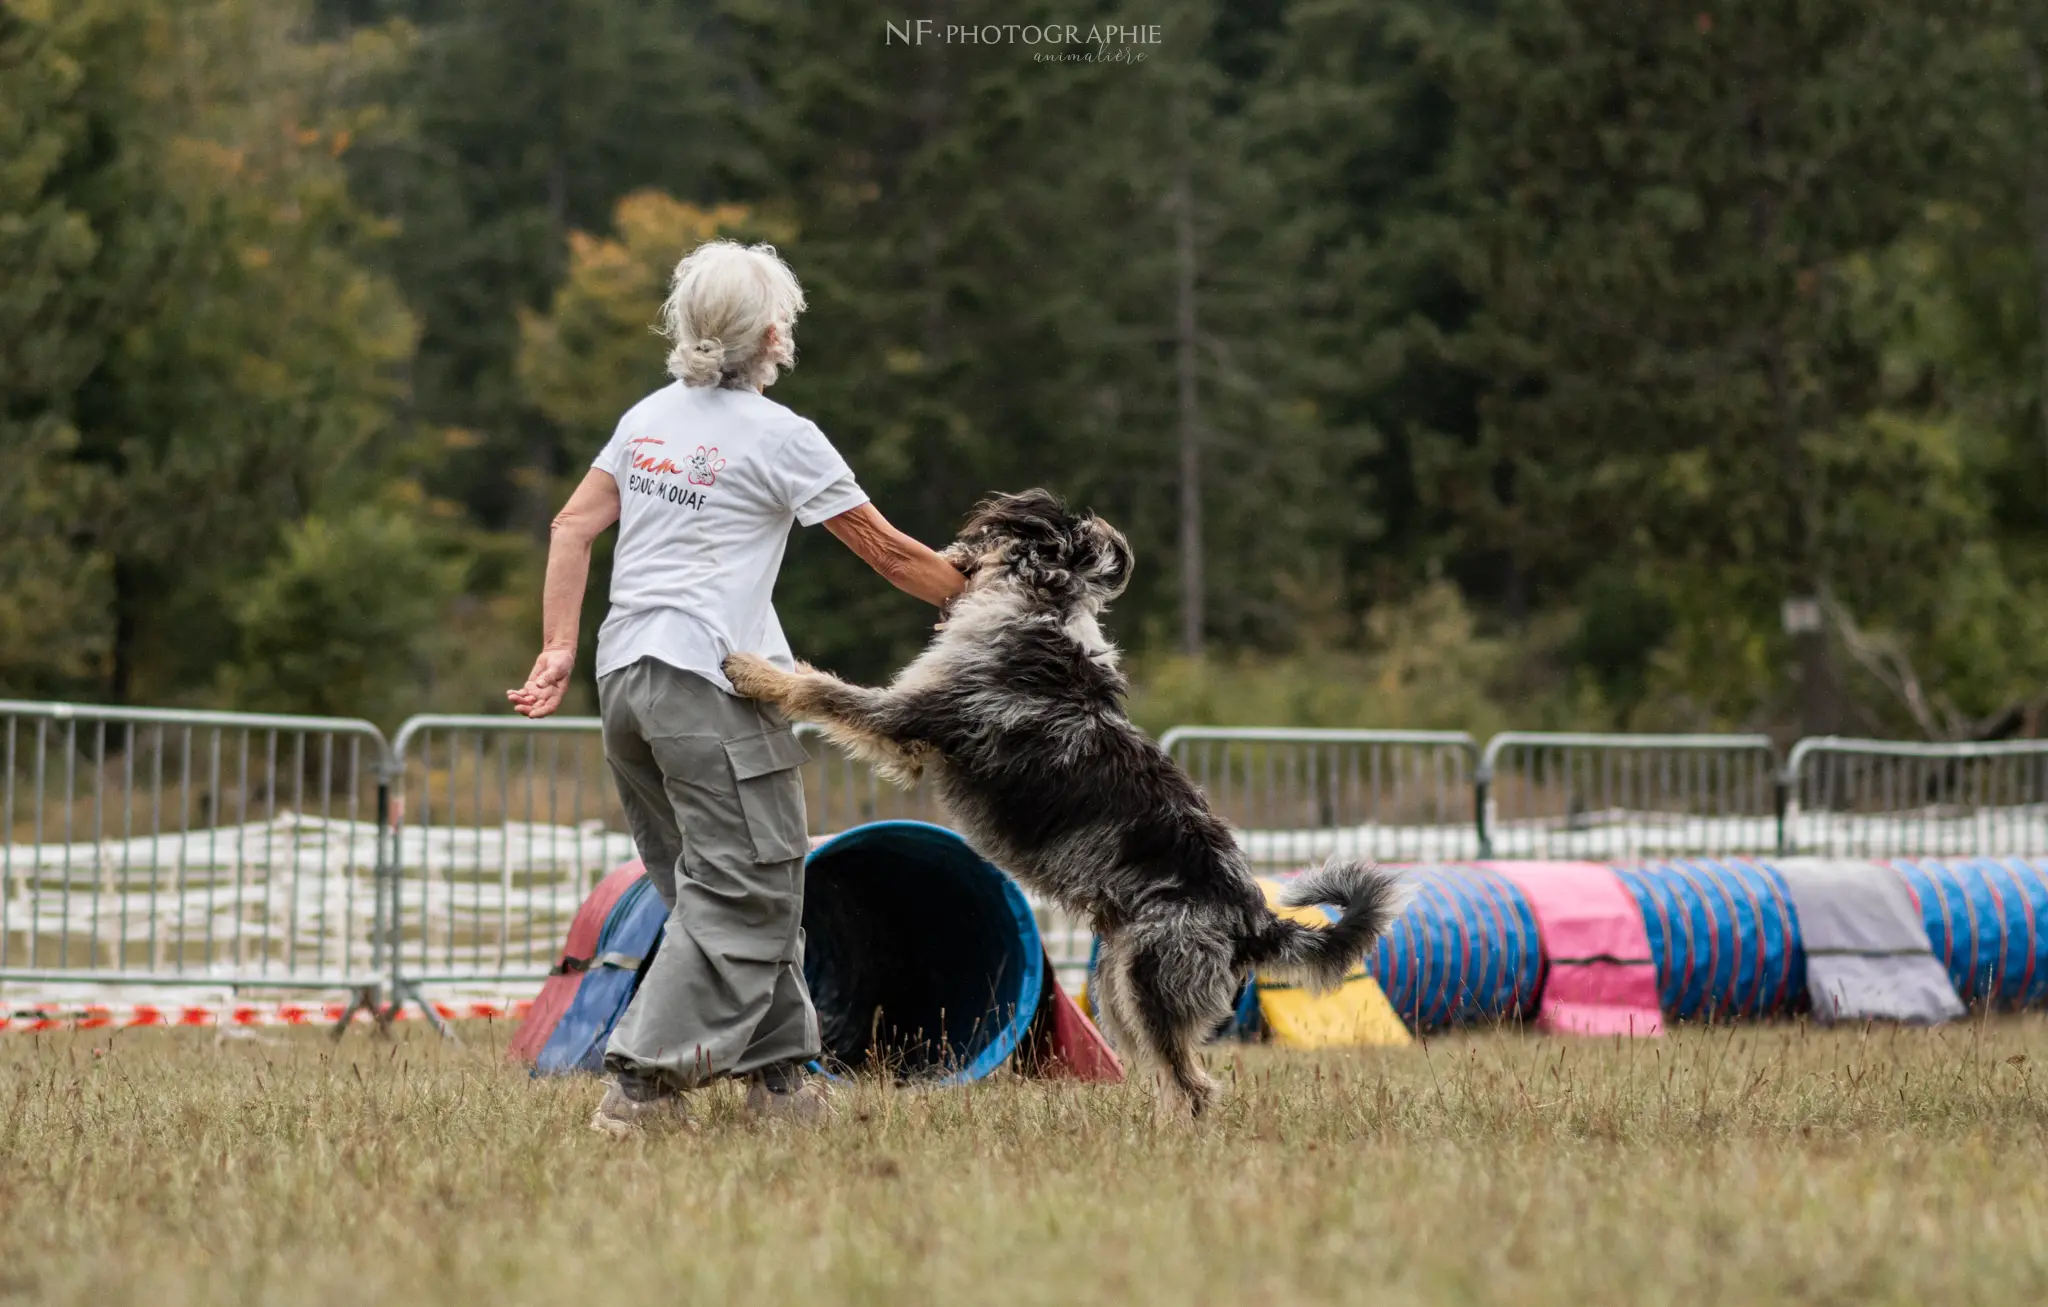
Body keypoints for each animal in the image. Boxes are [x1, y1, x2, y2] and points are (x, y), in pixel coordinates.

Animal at [720, 491, 1409, 1114]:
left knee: (1194, 1085)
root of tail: (1256, 919)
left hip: (1149, 980)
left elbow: (821, 689)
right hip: (1115, 986)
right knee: (1169, 1075)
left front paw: (751, 669)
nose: (946, 554)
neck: (1040, 608)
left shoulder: (907, 718)